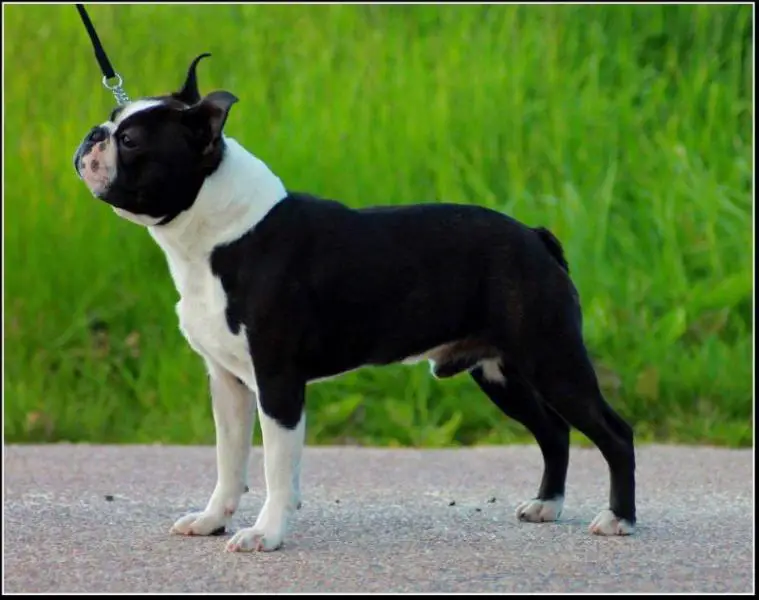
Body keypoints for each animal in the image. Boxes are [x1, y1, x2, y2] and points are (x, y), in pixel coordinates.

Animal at [75, 56, 636, 552]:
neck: (219, 234)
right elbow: (228, 461)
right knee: (554, 430)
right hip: (500, 372)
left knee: (613, 432)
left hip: (551, 359)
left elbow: (276, 467)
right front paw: (213, 520)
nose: (93, 135)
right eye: (110, 124)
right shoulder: (228, 383)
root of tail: (536, 238)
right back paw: (548, 505)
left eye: (130, 140)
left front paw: (266, 534)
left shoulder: (278, 382)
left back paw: (618, 519)